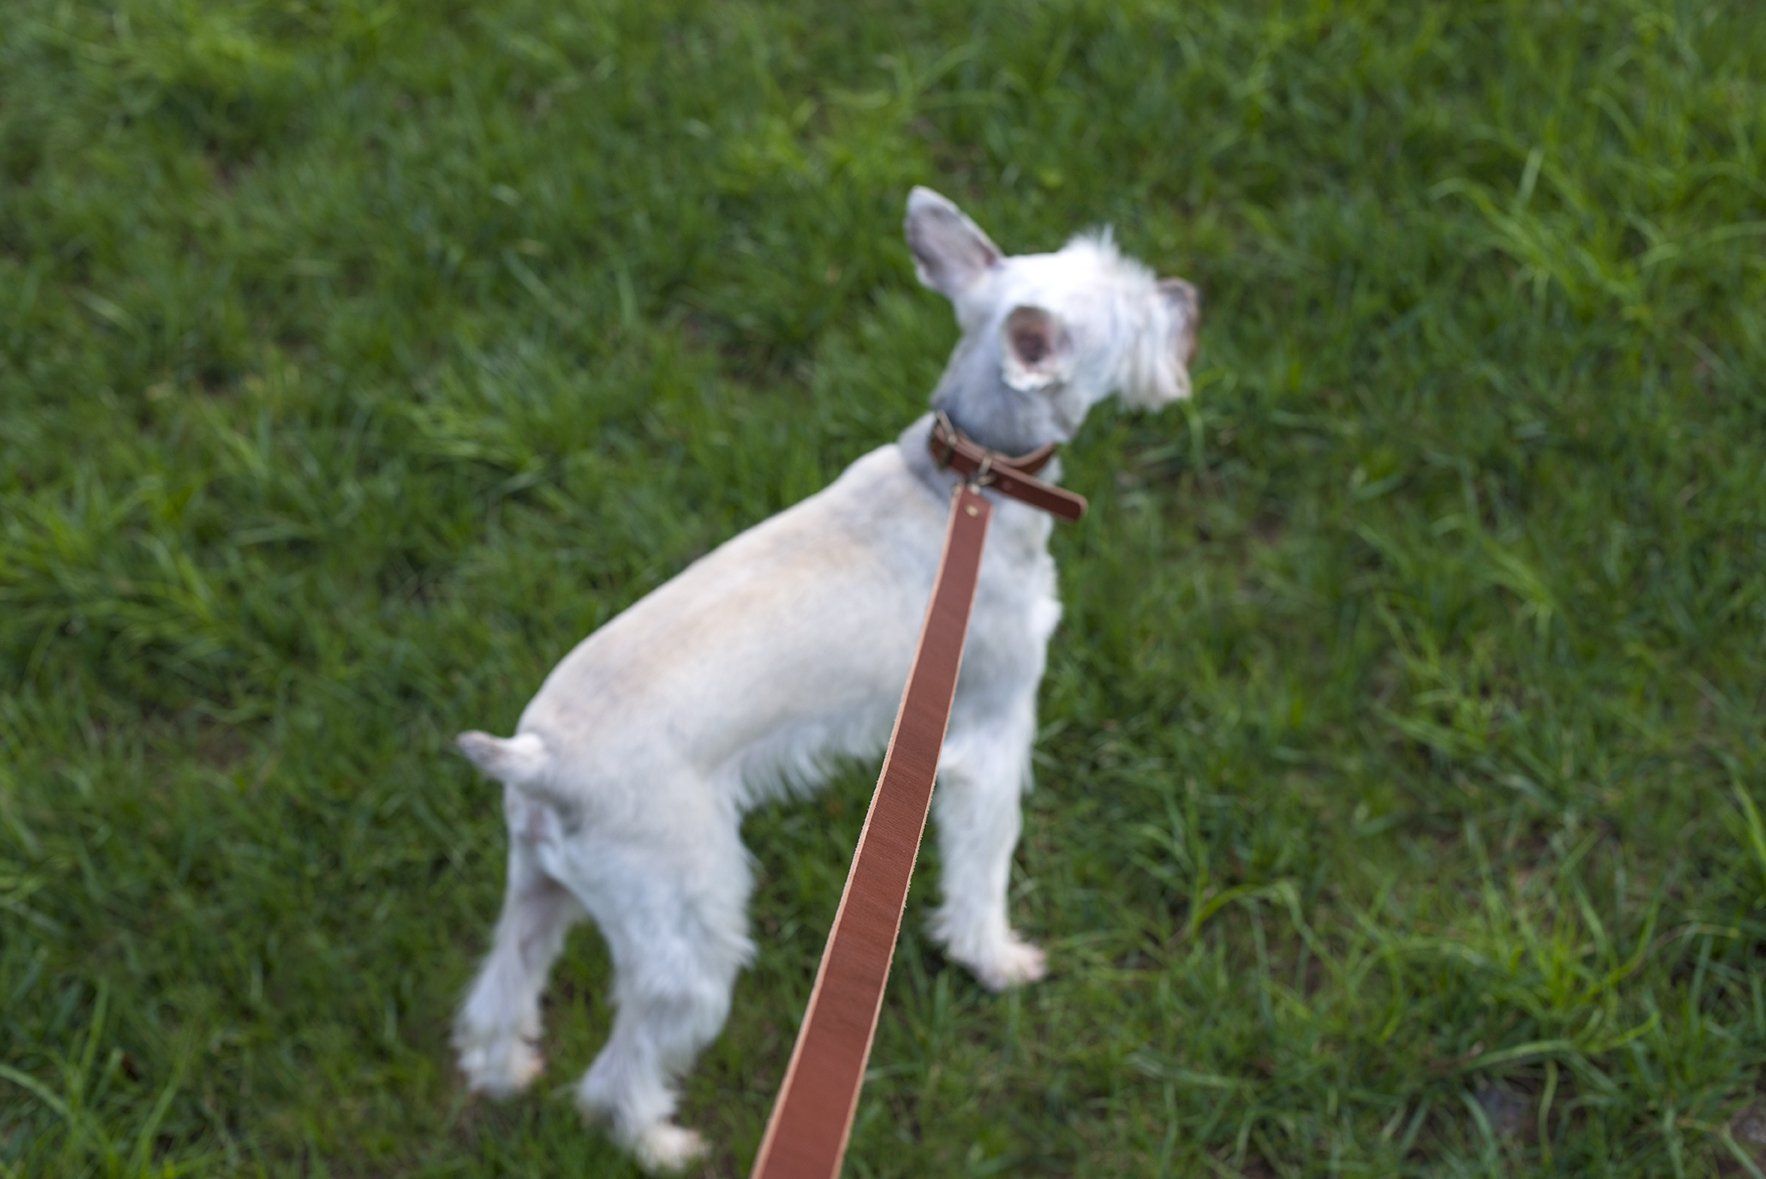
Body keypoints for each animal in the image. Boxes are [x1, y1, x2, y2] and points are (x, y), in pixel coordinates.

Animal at [452, 187, 1201, 1171]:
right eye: (1126, 305)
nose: (1187, 297)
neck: (965, 482)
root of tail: (535, 757)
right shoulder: (996, 726)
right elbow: (985, 858)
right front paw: (995, 957)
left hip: (540, 883)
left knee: (500, 987)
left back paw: (507, 1070)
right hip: (690, 924)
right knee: (620, 1070)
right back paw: (663, 1141)